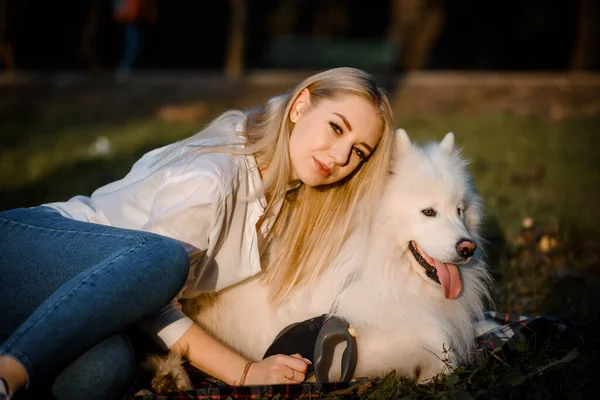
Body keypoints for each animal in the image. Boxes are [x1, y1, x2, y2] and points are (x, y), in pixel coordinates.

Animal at [155, 129, 492, 388]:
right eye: (428, 212)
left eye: (459, 210)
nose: (468, 248)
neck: (371, 261)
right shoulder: (350, 344)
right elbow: (435, 335)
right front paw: (437, 371)